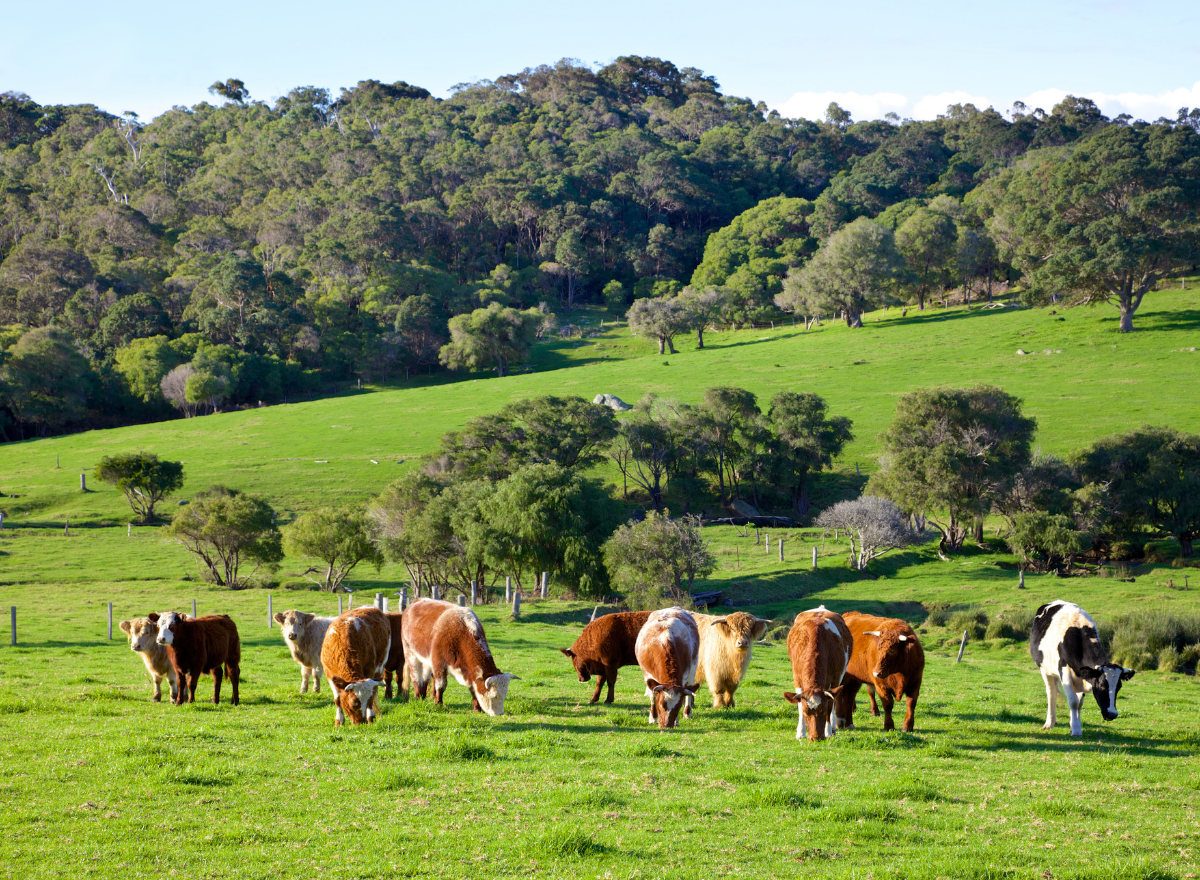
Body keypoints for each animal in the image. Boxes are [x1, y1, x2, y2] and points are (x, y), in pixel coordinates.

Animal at [787, 605, 854, 739]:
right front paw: (801, 732)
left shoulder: (836, 676)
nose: (816, 737)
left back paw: (833, 726)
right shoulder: (797, 675)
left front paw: (828, 731)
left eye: (822, 711)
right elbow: (799, 703)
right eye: (806, 712)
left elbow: (830, 702)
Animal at [1032, 597, 1132, 734]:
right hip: (1045, 669)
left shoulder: (1083, 675)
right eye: (1101, 686)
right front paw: (1076, 730)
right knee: (1051, 693)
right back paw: (1049, 723)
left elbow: (1079, 703)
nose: (1112, 714)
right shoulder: (1064, 670)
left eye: (1119, 687)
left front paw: (1075, 724)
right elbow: (1073, 702)